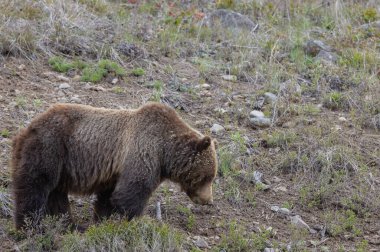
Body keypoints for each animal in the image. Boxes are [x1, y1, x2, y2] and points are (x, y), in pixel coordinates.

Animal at [11, 102, 218, 230]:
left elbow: (108, 197)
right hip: (49, 147)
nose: (208, 200)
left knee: (56, 193)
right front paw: (134, 221)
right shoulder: (143, 151)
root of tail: (27, 128)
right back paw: (31, 226)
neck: (165, 151)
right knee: (35, 186)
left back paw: (70, 225)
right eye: (207, 177)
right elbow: (131, 192)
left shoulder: (115, 170)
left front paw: (102, 220)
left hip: (60, 165)